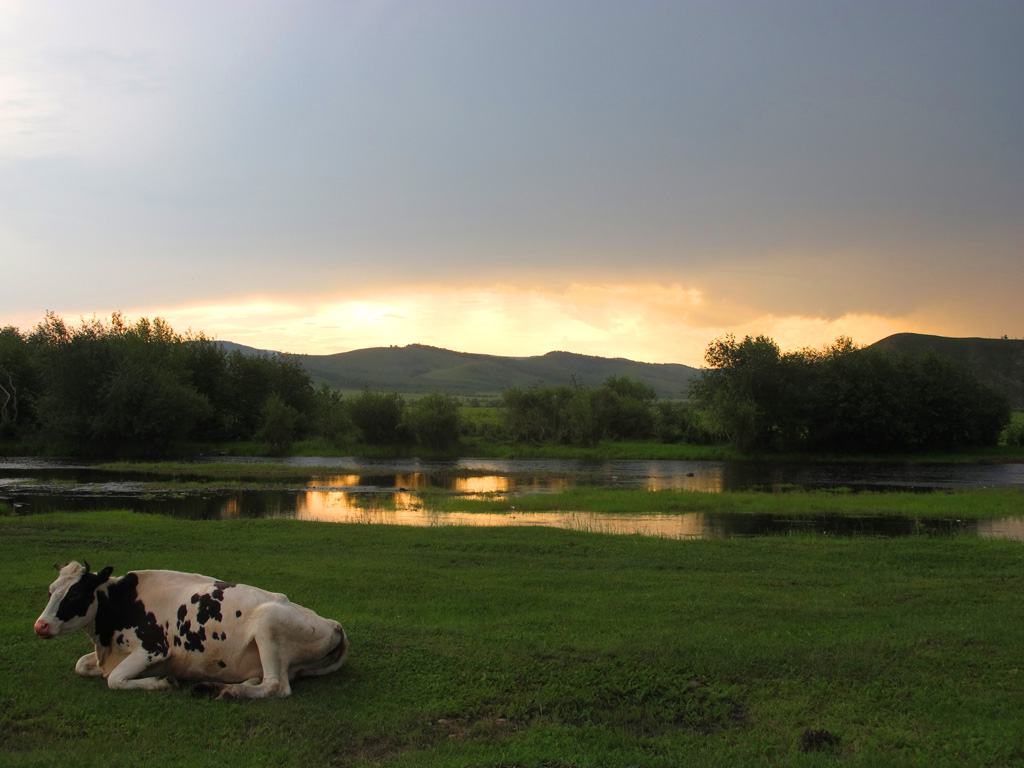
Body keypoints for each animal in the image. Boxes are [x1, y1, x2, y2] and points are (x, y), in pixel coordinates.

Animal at [35, 561, 348, 700]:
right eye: (51, 590)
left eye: (76, 594)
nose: (41, 625)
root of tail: (334, 624)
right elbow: (81, 664)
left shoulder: (153, 649)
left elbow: (114, 679)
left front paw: (162, 682)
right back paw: (216, 686)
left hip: (268, 622)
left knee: (275, 686)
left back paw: (230, 692)